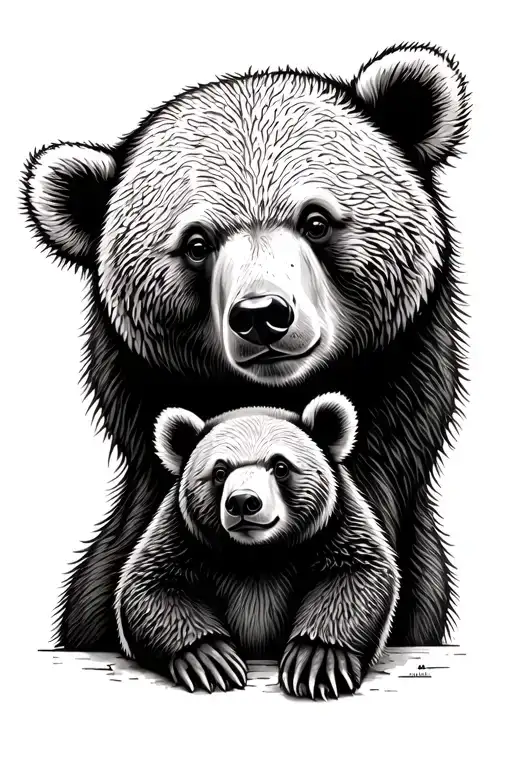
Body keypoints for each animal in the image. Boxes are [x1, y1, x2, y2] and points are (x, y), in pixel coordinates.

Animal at [115, 393, 399, 699]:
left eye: (281, 466)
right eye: (220, 471)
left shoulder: (332, 525)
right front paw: (210, 659)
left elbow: (358, 572)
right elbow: (150, 585)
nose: (243, 501)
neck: (258, 553)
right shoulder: (184, 533)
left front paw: (318, 661)